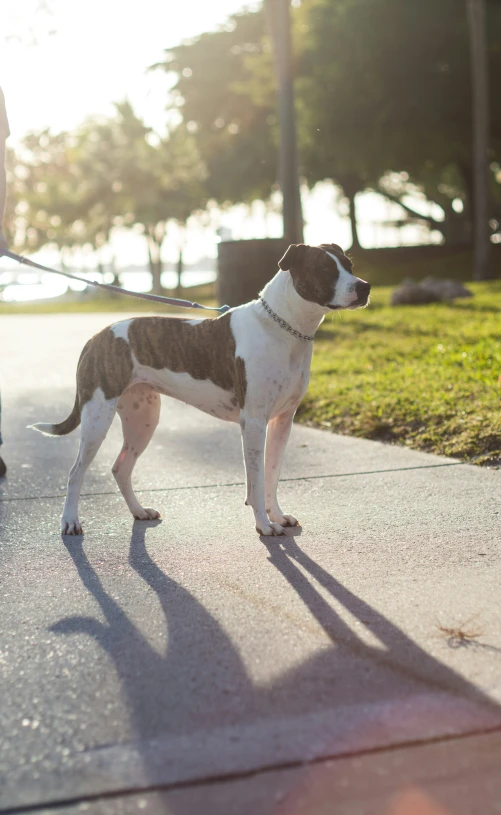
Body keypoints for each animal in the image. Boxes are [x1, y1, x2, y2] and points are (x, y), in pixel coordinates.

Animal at [30, 242, 368, 536]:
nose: (364, 287)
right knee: (76, 472)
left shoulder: (282, 421)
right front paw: (263, 524)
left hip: (143, 418)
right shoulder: (254, 422)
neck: (284, 328)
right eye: (325, 269)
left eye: (349, 265)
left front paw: (278, 516)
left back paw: (139, 511)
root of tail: (96, 336)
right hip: (97, 416)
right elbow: (256, 480)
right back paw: (70, 521)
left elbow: (272, 474)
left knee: (121, 468)